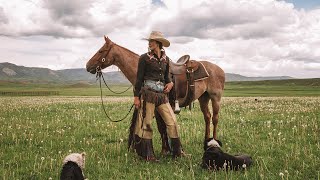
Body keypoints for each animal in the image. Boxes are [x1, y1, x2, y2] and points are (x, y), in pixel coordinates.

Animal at [85, 36, 225, 152]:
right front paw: (165, 149)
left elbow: (162, 127)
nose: (87, 66)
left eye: (101, 51)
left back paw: (214, 143)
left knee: (215, 118)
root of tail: (220, 69)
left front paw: (166, 150)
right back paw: (206, 143)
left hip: (215, 97)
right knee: (207, 117)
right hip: (203, 98)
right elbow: (160, 127)